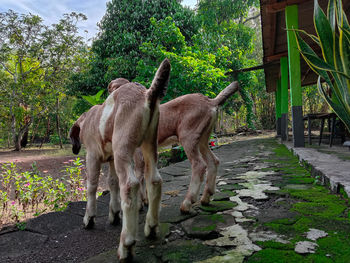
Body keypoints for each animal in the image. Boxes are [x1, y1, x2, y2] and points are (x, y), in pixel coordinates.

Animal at [109, 81, 241, 214]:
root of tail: (211, 102)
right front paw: (146, 201)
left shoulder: (138, 152)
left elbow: (139, 174)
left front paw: (140, 204)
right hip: (203, 139)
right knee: (213, 161)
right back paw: (205, 198)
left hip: (188, 136)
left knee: (199, 165)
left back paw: (187, 204)